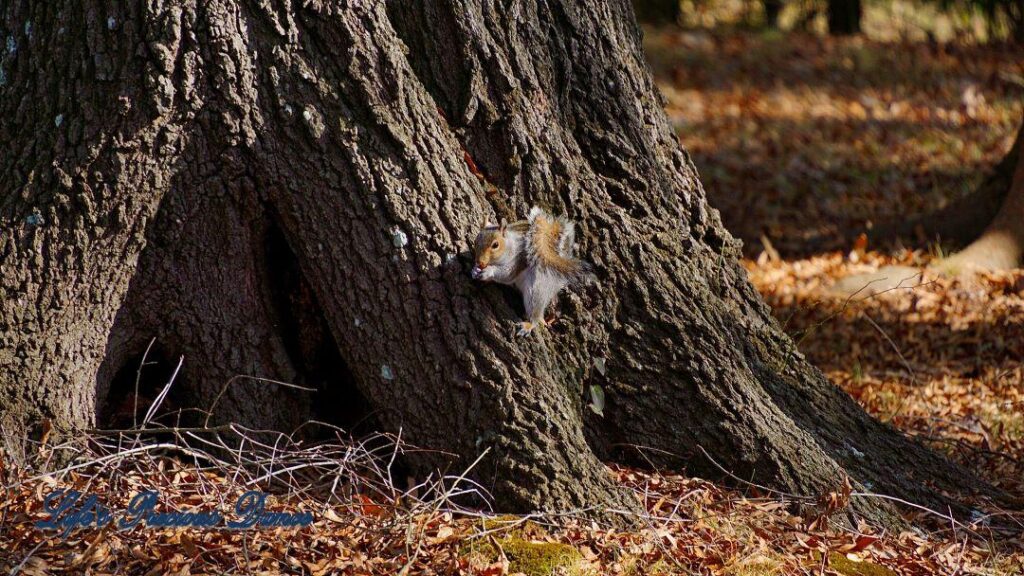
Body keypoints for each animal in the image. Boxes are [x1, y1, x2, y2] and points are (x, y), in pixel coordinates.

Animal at [468, 204, 593, 334]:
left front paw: (489, 271)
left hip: (537, 290)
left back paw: (528, 325)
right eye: (476, 241)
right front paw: (475, 270)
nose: (480, 262)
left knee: (536, 314)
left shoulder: (519, 259)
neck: (510, 245)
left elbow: (506, 274)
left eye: (495, 245)